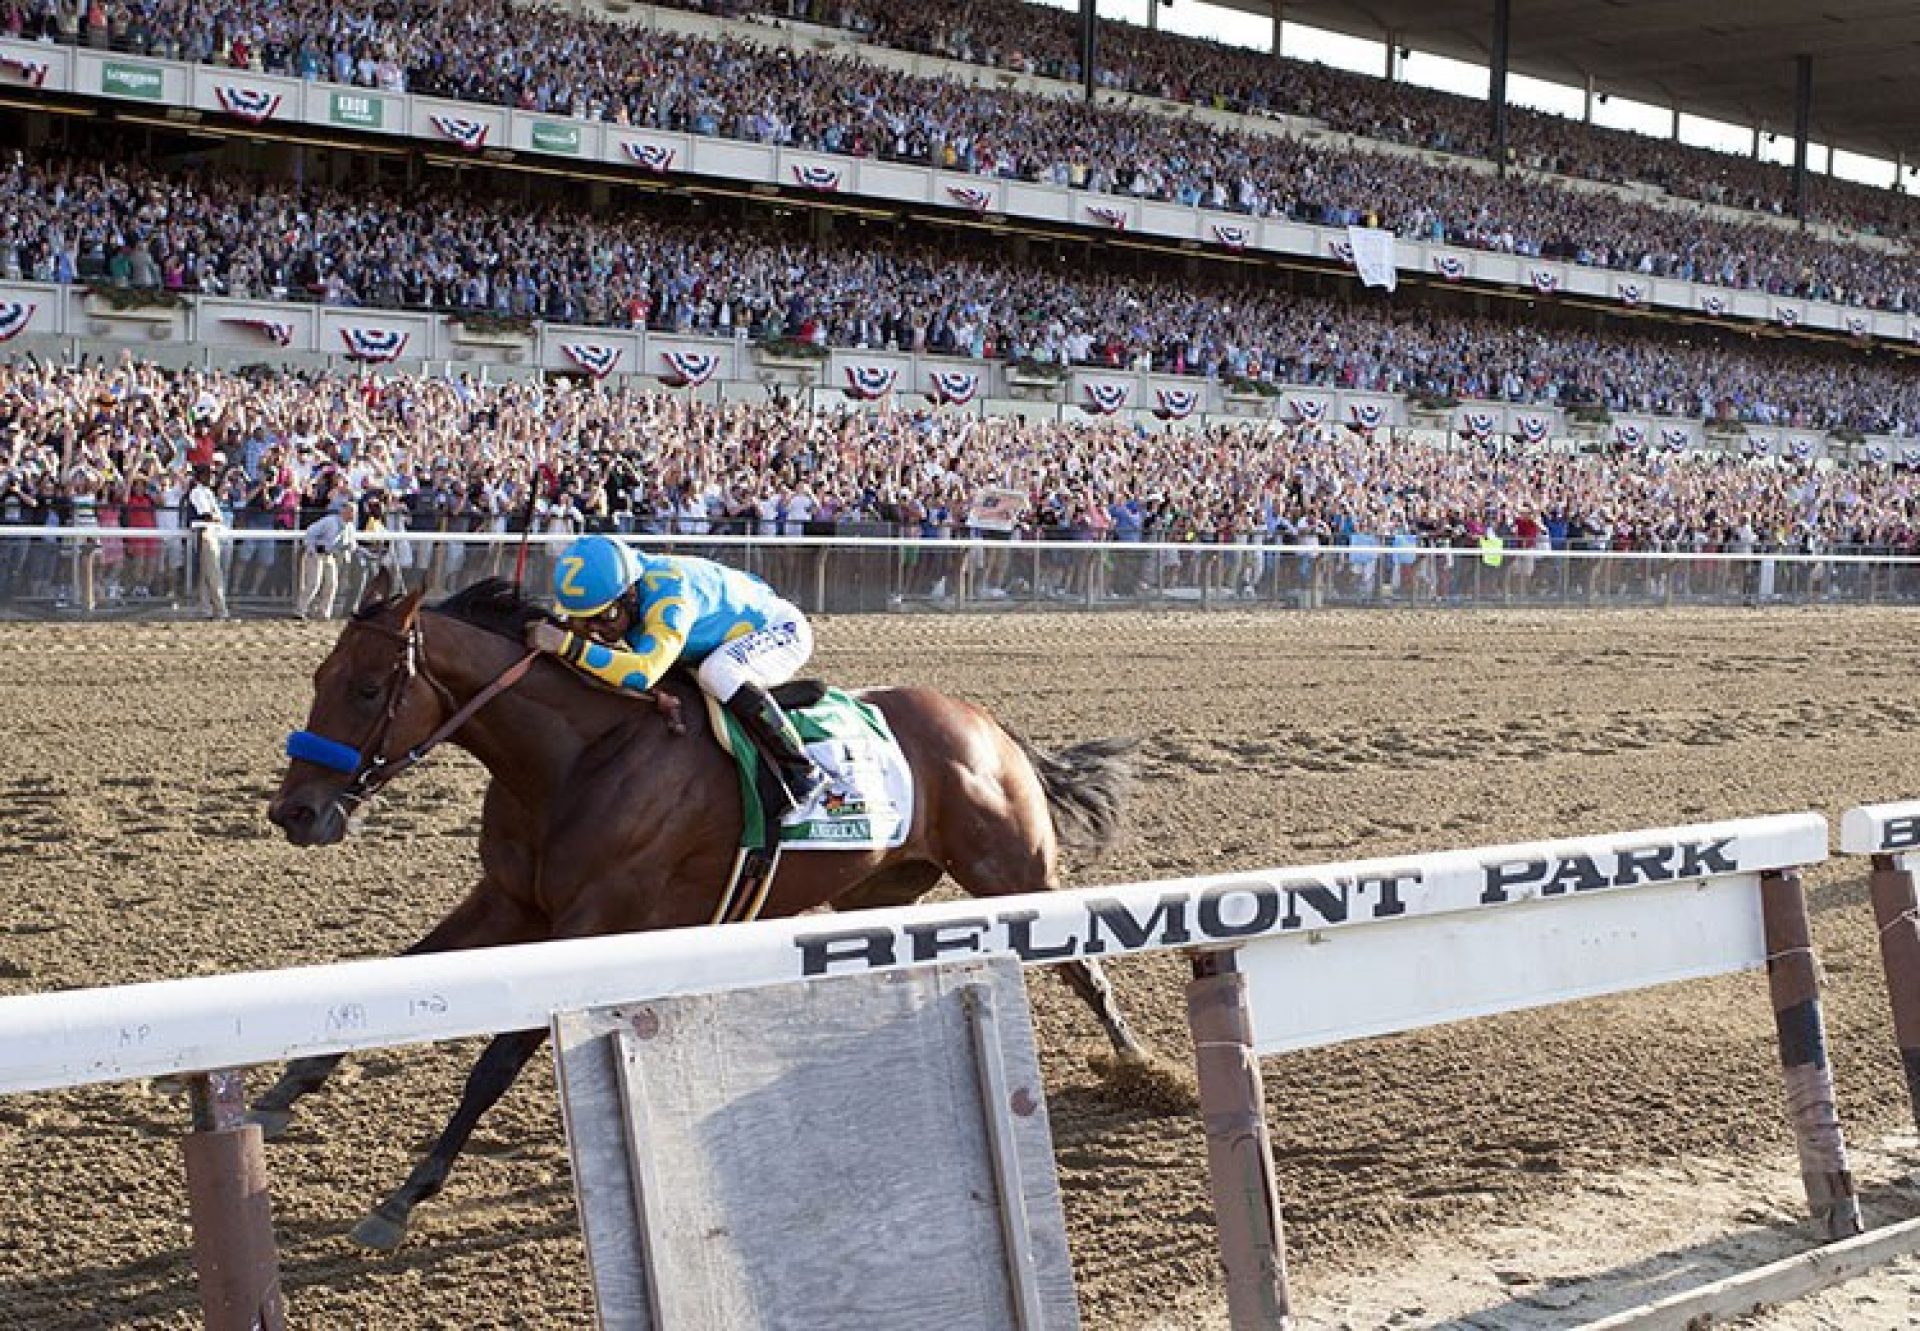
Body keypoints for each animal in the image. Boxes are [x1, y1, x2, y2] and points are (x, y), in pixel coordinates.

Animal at [263, 568, 1144, 1244]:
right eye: (316, 680)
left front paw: (403, 1196)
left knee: (1082, 964)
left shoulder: (587, 926)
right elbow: (397, 975)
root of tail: (986, 722)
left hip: (1010, 867)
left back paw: (1141, 1065)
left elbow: (496, 1062)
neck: (576, 759)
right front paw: (281, 1091)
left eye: (368, 687)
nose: (295, 813)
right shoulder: (512, 904)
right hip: (876, 886)